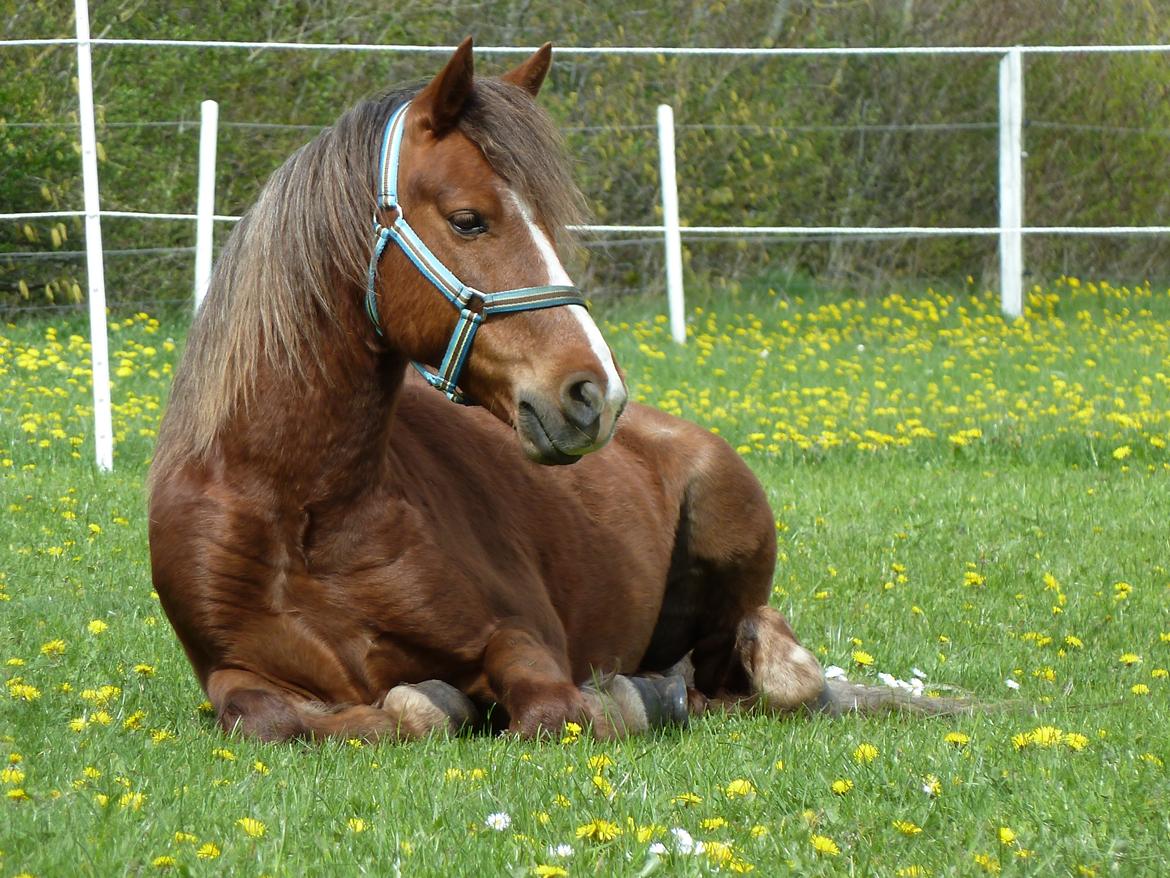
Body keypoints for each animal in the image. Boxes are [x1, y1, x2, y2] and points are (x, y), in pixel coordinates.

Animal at [149, 38, 926, 743]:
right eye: (469, 219)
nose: (595, 393)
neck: (302, 507)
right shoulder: (232, 673)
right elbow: (278, 718)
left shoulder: (521, 636)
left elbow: (550, 711)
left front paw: (609, 700)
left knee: (748, 676)